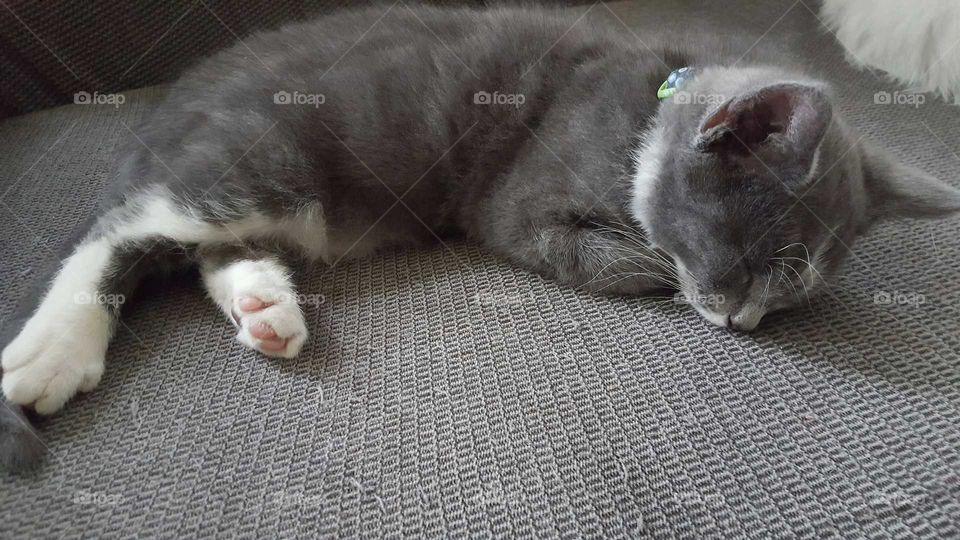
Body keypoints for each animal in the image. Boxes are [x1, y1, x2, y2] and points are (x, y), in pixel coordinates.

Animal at [1, 4, 960, 468]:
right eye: (752, 261)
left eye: (789, 296)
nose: (745, 322)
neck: (642, 112)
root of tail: (173, 100)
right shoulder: (523, 199)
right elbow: (606, 257)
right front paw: (659, 271)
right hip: (259, 155)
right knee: (119, 228)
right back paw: (54, 350)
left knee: (208, 248)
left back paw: (266, 308)